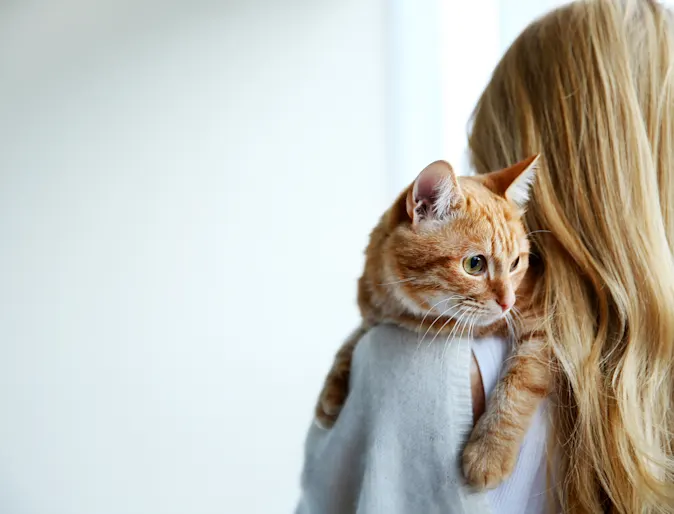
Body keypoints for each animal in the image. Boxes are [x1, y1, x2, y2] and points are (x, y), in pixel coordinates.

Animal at [312, 155, 548, 488]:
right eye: (474, 264)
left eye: (516, 263)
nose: (507, 303)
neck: (411, 314)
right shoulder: (372, 317)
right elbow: (351, 340)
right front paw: (330, 392)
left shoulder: (544, 323)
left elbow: (518, 385)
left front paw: (489, 452)